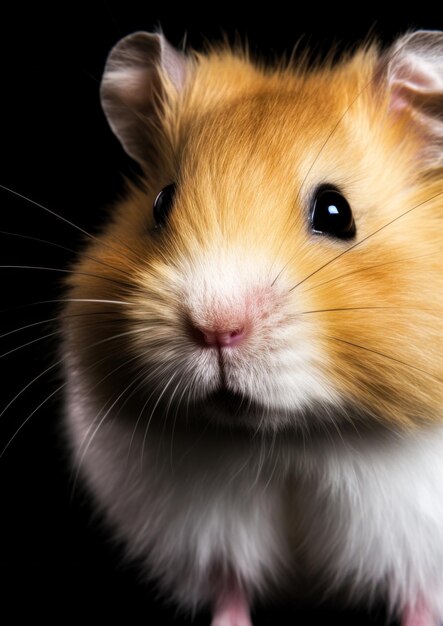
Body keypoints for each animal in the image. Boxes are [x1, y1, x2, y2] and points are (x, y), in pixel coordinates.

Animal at [62, 31, 443, 624]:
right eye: (160, 203)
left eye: (336, 212)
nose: (216, 329)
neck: (292, 439)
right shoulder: (207, 534)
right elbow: (231, 593)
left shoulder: (415, 536)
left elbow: (420, 601)